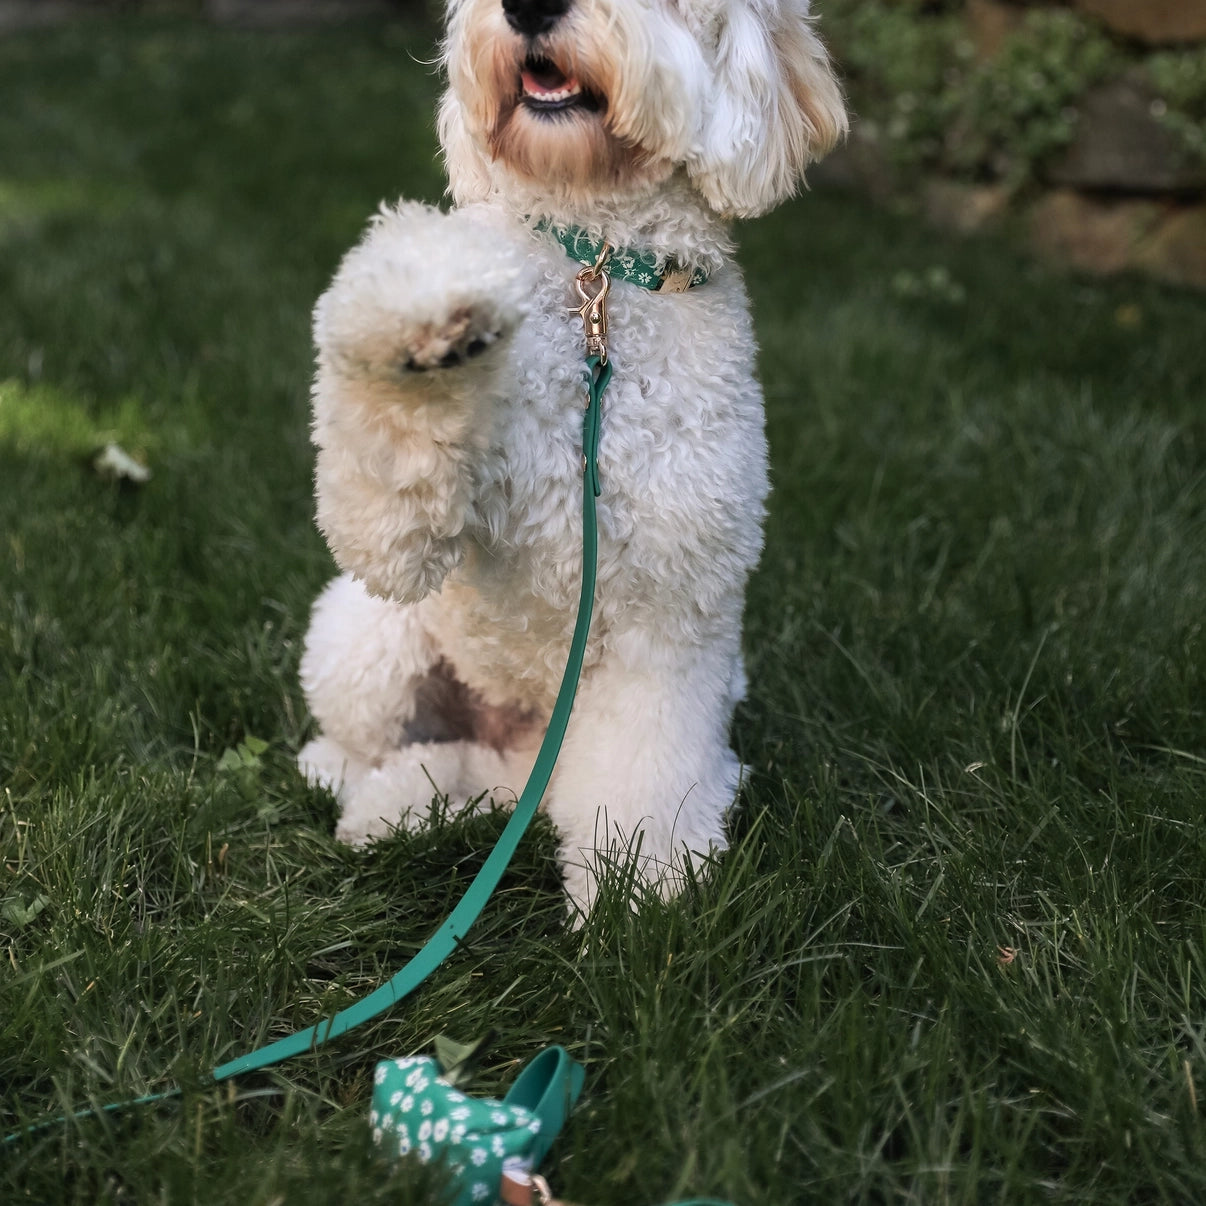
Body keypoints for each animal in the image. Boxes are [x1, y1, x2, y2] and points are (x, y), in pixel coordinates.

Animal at [299, 0, 849, 911]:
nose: (530, 10)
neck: (599, 279)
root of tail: (521, 736)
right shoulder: (399, 539)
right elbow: (392, 494)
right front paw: (428, 321)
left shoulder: (667, 619)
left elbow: (641, 784)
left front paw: (639, 900)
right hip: (365, 646)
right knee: (363, 743)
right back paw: (354, 788)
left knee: (473, 774)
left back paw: (402, 807)